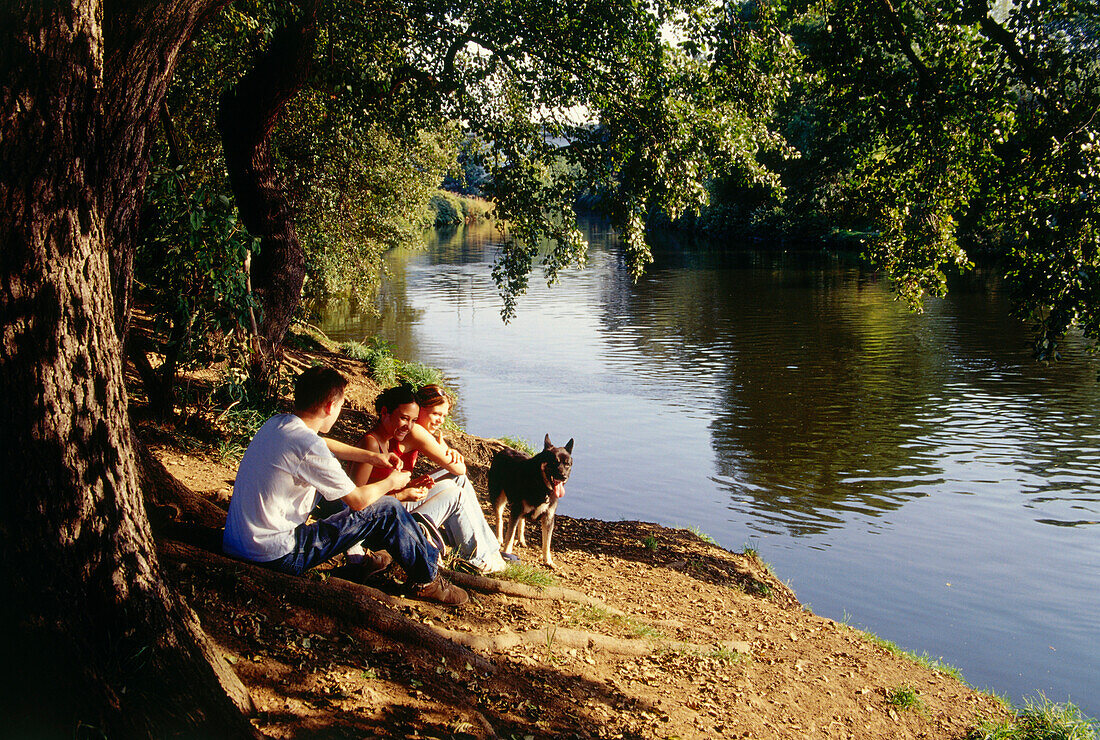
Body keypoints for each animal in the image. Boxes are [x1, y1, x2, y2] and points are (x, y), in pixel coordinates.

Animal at [490, 433, 576, 567]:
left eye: (567, 464)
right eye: (554, 462)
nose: (564, 477)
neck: (541, 485)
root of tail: (504, 450)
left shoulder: (548, 518)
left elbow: (546, 543)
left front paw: (548, 561)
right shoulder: (516, 510)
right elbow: (509, 536)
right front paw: (507, 553)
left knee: (521, 521)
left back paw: (521, 540)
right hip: (499, 499)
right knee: (500, 520)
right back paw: (499, 539)